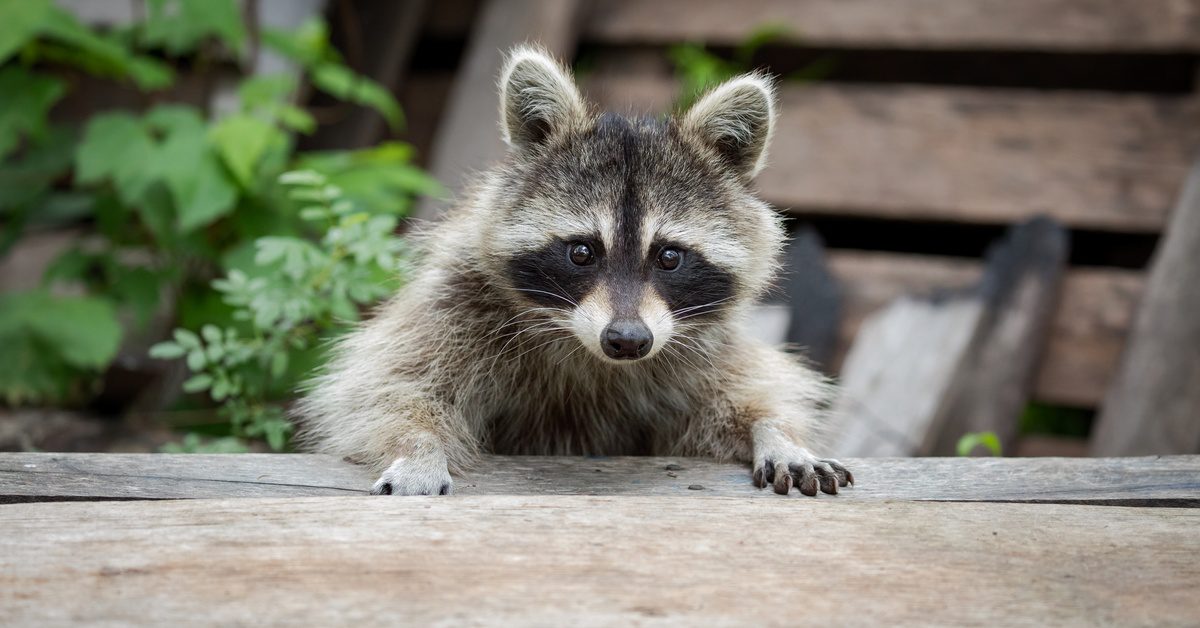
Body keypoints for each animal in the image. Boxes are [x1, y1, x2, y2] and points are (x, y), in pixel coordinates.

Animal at [296, 45, 852, 497]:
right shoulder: (457, 301)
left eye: (669, 257)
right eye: (582, 252)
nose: (627, 340)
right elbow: (389, 387)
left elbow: (744, 396)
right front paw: (417, 446)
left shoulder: (703, 345)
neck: (586, 348)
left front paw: (778, 433)